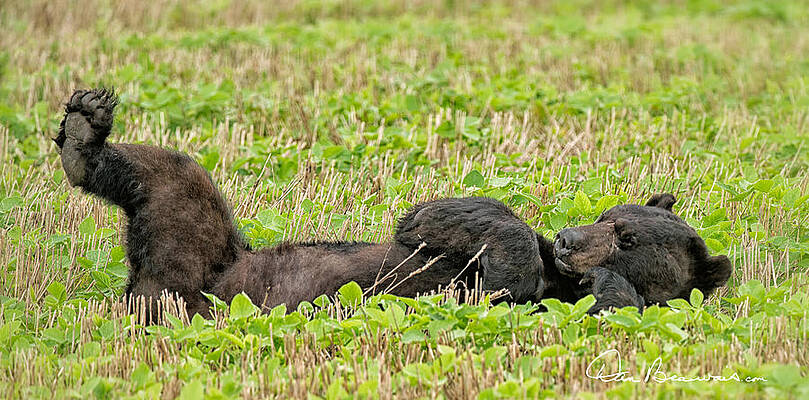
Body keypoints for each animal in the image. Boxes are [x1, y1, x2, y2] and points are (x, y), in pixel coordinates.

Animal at [54, 88, 732, 318]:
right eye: (605, 215)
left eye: (628, 238)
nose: (569, 239)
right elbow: (448, 213)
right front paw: (517, 259)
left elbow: (608, 306)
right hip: (208, 236)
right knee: (174, 169)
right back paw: (85, 128)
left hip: (188, 273)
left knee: (174, 195)